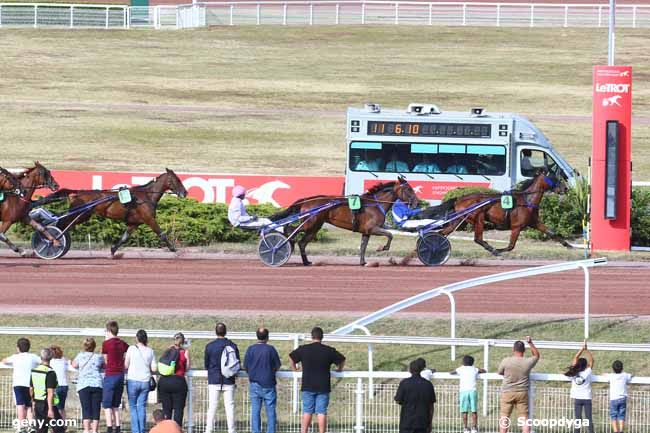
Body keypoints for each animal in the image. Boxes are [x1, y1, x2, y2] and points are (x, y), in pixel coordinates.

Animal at [46, 168, 185, 255]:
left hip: (83, 216)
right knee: (61, 223)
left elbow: (124, 238)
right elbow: (162, 234)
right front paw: (173, 249)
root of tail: (77, 192)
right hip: (79, 214)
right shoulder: (149, 219)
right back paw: (53, 240)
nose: (184, 192)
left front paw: (113, 250)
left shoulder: (134, 223)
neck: (146, 196)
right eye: (177, 180)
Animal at [270, 176, 418, 264]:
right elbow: (390, 235)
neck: (375, 204)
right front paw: (382, 248)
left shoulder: (366, 231)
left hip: (315, 227)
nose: (417, 203)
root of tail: (307, 200)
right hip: (310, 224)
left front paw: (363, 262)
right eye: (408, 189)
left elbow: (363, 246)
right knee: (290, 230)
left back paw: (306, 261)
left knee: (302, 242)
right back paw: (284, 245)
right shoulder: (373, 228)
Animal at [420, 169, 568, 255]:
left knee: (442, 233)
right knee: (478, 239)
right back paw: (491, 249)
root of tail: (459, 199)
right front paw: (498, 250)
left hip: (458, 220)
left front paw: (569, 245)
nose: (565, 189)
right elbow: (511, 246)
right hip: (478, 217)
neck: (527, 200)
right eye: (555, 178)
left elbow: (552, 233)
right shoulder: (517, 226)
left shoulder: (534, 222)